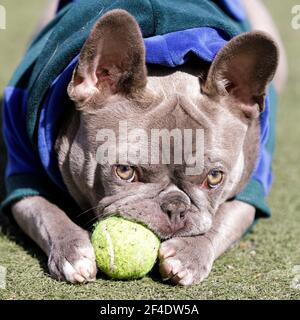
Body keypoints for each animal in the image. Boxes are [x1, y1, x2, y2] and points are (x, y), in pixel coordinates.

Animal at [4, 0, 286, 284]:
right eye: (124, 171)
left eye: (215, 177)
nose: (175, 208)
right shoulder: (23, 177)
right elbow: (47, 213)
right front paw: (70, 249)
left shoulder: (250, 192)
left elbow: (221, 221)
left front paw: (190, 253)